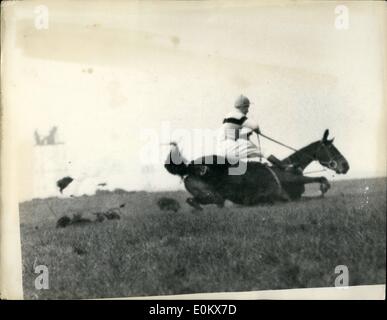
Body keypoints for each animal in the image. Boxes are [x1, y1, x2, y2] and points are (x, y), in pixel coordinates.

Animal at [164, 129, 352, 211]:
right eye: (332, 149)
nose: (346, 166)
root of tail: (190, 167)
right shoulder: (290, 188)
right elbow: (319, 180)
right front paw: (323, 188)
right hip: (212, 194)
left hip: (208, 194)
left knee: (195, 201)